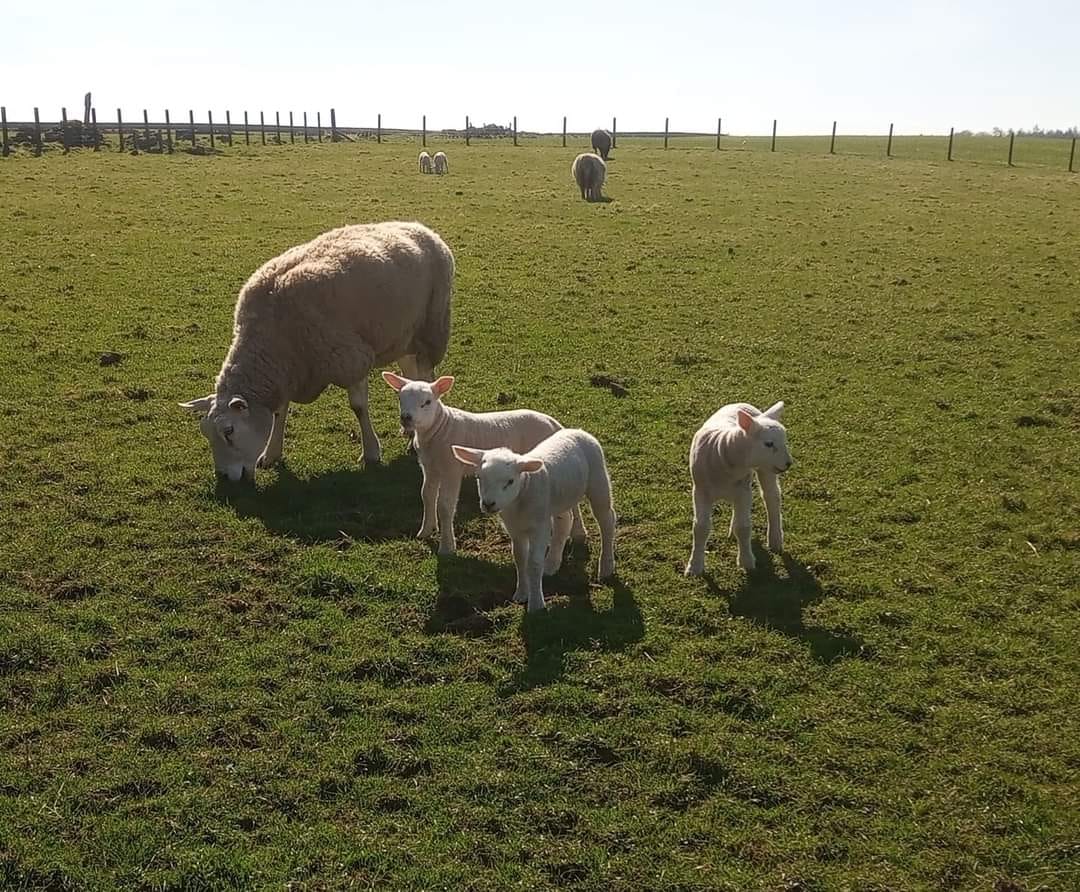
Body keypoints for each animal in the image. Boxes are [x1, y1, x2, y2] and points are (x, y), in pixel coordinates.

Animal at [180, 221, 454, 481]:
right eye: (206, 433)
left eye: (229, 432)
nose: (225, 478)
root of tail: (419, 227)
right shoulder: (287, 372)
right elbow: (279, 412)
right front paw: (271, 454)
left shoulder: (350, 359)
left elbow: (358, 407)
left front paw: (371, 453)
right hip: (403, 337)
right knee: (410, 374)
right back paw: (409, 429)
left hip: (431, 330)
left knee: (426, 376)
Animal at [382, 373, 586, 555]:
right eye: (400, 398)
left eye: (427, 402)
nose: (406, 418)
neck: (439, 428)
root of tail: (555, 424)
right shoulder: (430, 468)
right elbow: (427, 495)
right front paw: (425, 531)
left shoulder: (451, 470)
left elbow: (445, 506)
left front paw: (447, 547)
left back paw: (578, 533)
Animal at [452, 429, 616, 612]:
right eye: (478, 477)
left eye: (510, 481)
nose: (488, 504)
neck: (522, 495)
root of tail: (577, 431)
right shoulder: (515, 529)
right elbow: (520, 559)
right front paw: (522, 593)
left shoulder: (540, 527)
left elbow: (534, 563)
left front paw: (536, 604)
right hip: (561, 496)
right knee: (565, 521)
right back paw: (551, 564)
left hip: (598, 478)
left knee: (607, 519)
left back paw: (606, 567)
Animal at [684, 402, 794, 576]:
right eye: (769, 444)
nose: (789, 463)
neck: (724, 450)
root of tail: (741, 404)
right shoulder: (700, 491)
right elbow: (700, 528)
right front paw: (694, 567)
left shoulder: (743, 492)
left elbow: (743, 528)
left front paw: (746, 561)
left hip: (766, 469)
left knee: (772, 497)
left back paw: (775, 540)